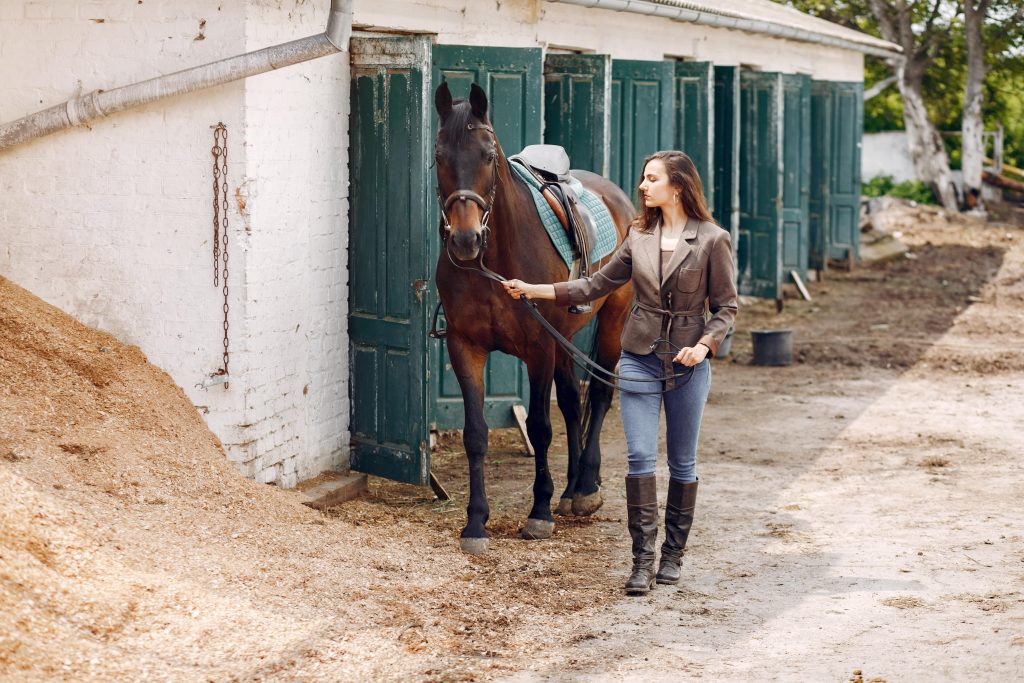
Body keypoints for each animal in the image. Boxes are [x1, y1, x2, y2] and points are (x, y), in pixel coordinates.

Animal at [433, 81, 635, 554]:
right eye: (438, 155)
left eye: (487, 155)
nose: (466, 241)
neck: (493, 259)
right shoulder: (465, 346)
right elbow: (475, 434)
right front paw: (475, 522)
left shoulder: (539, 348)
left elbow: (541, 427)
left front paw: (539, 512)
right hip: (565, 338)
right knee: (573, 401)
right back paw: (574, 488)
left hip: (612, 323)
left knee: (599, 395)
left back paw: (586, 488)